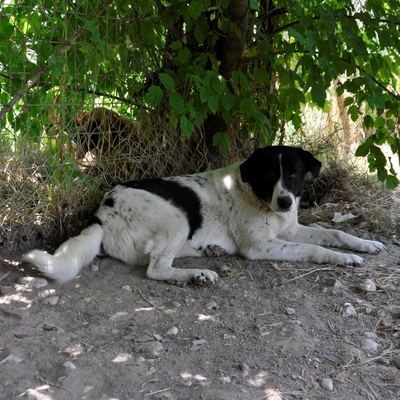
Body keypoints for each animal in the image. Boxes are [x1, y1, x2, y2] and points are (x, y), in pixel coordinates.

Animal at [22, 147, 384, 284]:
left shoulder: (290, 229)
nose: (285, 202)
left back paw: (207, 252)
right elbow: (314, 248)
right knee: (155, 268)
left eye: (294, 173)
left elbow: (333, 233)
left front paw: (363, 246)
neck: (256, 194)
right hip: (177, 218)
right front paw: (339, 258)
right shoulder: (260, 246)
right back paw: (196, 274)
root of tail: (100, 213)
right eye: (270, 174)